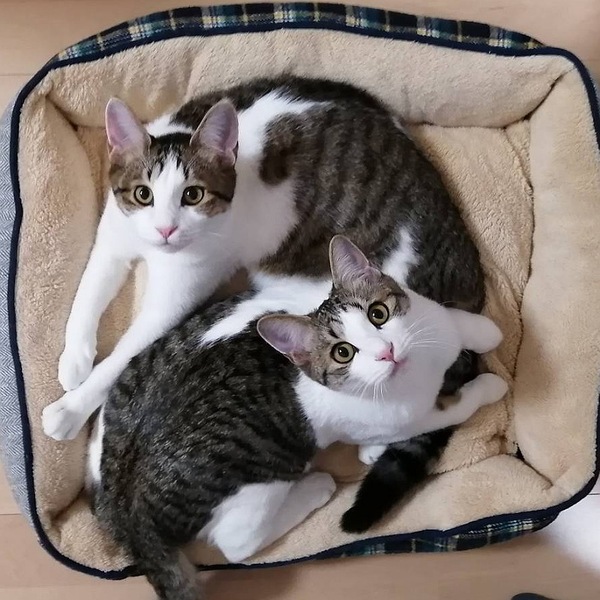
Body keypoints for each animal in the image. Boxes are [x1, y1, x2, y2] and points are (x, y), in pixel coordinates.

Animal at [43, 75, 484, 443]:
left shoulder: (176, 297)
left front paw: (71, 409)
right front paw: (74, 360)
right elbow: (88, 292)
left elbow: (122, 357)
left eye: (193, 195)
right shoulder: (114, 237)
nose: (166, 230)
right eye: (143, 195)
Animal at [90, 236, 506, 600]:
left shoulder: (427, 316)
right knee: (238, 541)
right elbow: (450, 408)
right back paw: (316, 487)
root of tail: (132, 512)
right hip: (261, 472)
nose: (386, 352)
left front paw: (484, 331)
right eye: (343, 353)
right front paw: (489, 386)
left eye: (378, 314)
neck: (424, 364)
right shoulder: (404, 414)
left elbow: (451, 320)